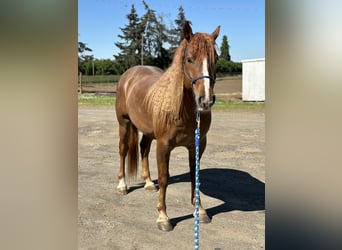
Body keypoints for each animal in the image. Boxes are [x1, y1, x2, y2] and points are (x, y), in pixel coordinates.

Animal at [115, 22, 220, 232]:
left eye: (216, 59)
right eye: (189, 59)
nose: (205, 101)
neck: (183, 109)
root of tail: (129, 75)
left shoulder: (197, 145)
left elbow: (194, 176)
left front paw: (200, 211)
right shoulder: (164, 145)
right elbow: (164, 178)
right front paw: (163, 217)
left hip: (148, 132)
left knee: (143, 149)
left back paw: (148, 183)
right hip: (124, 124)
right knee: (123, 150)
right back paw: (122, 185)